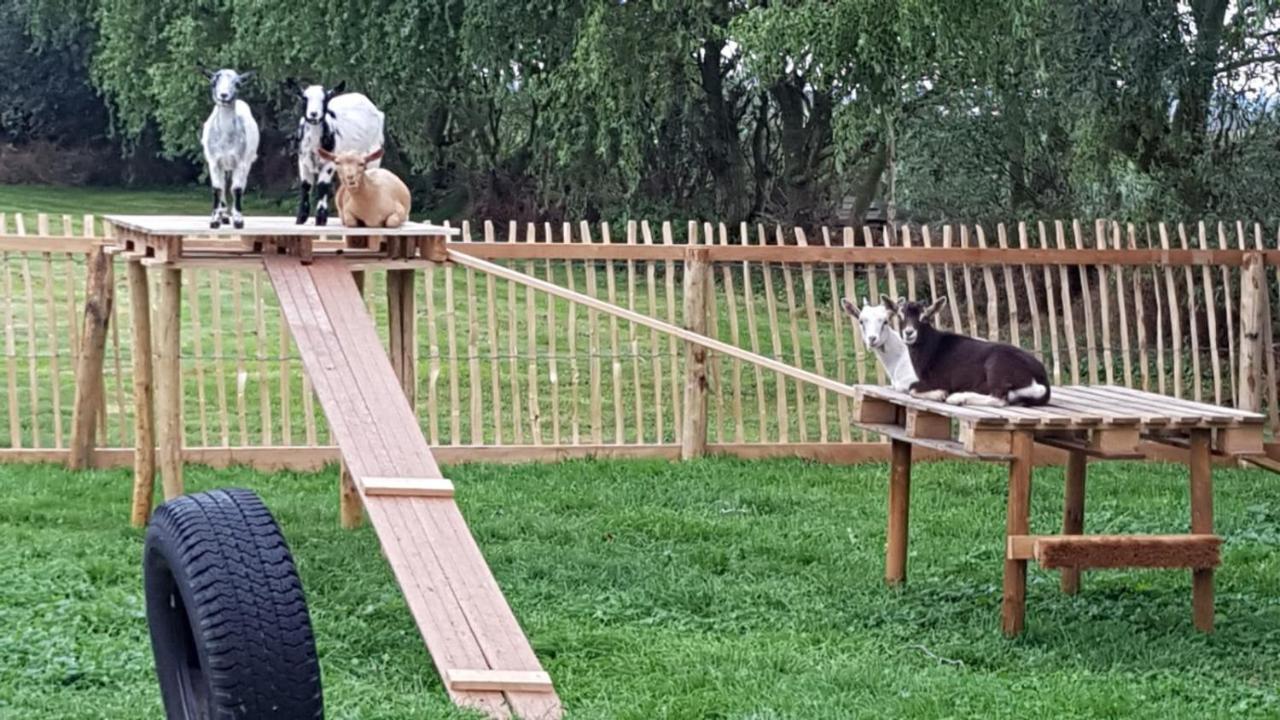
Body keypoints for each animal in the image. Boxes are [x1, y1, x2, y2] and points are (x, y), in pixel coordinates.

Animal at [198, 68, 258, 228]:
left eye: (237, 84)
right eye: (213, 82)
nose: (224, 96)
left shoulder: (241, 162)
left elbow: (237, 189)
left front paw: (238, 220)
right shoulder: (214, 161)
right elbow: (217, 189)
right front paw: (214, 220)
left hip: (246, 161)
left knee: (239, 185)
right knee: (223, 186)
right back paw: (222, 216)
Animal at [291, 80, 384, 224]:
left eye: (325, 99)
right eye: (305, 98)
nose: (313, 114)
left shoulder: (329, 163)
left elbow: (323, 186)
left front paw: (321, 218)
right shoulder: (302, 161)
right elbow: (306, 186)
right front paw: (301, 218)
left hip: (374, 152)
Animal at [890, 293, 1049, 404]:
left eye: (924, 317)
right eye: (900, 315)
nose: (909, 332)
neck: (932, 347)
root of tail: (1042, 377)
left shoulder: (939, 380)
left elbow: (912, 388)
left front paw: (940, 394)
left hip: (997, 366)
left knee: (999, 398)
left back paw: (958, 398)